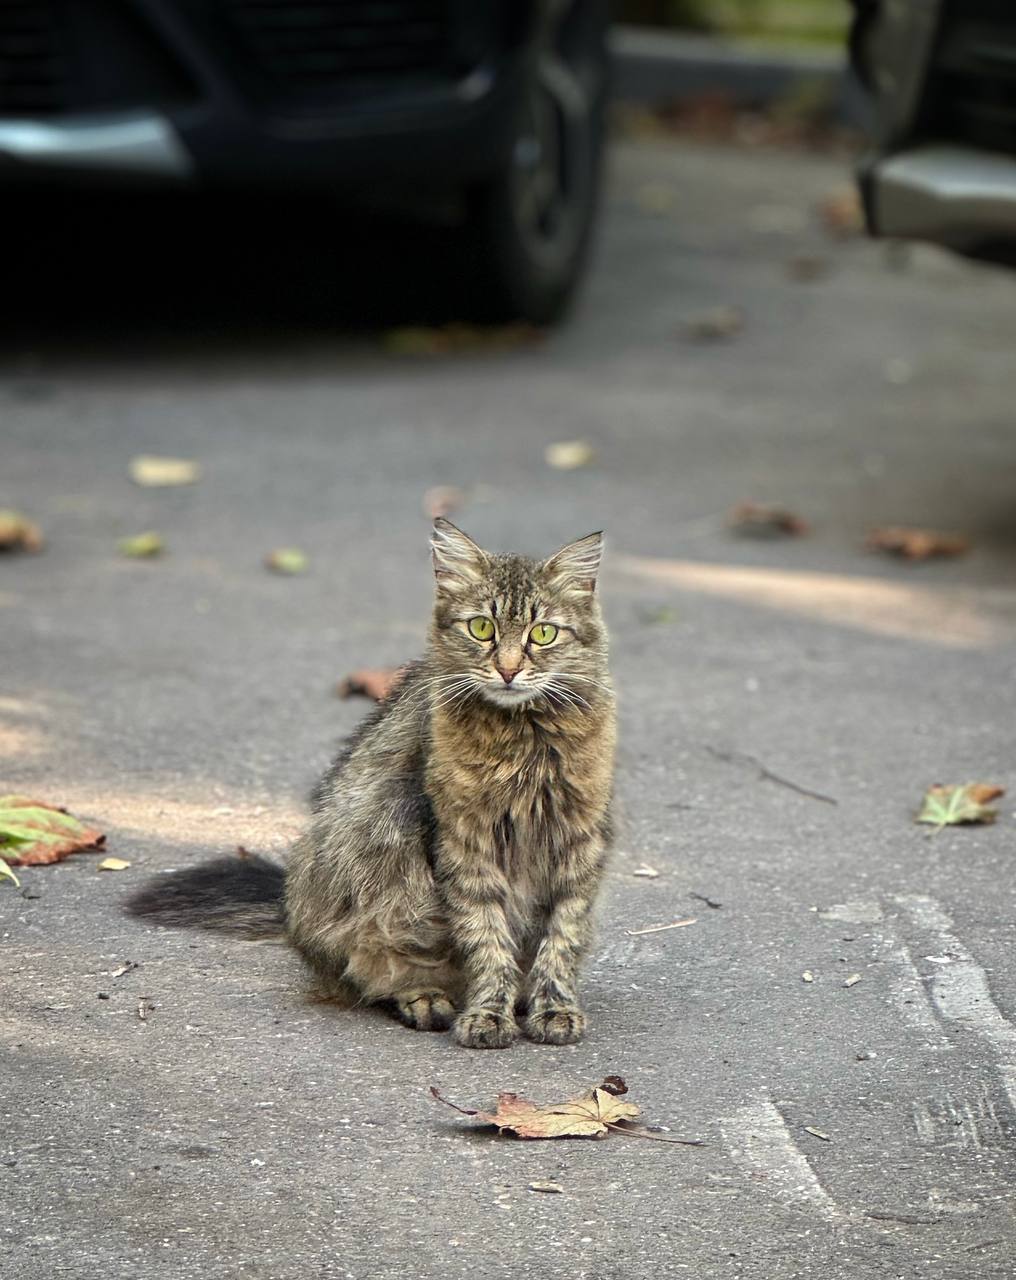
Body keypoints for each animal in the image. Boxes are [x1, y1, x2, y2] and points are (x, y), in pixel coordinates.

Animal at [129, 519, 614, 1049]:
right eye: (481, 628)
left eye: (542, 633)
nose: (507, 669)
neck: (523, 735)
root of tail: (288, 912)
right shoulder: (466, 842)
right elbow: (487, 940)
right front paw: (488, 1014)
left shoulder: (578, 837)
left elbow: (561, 938)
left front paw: (554, 1008)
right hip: (380, 844)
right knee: (375, 973)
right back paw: (425, 999)